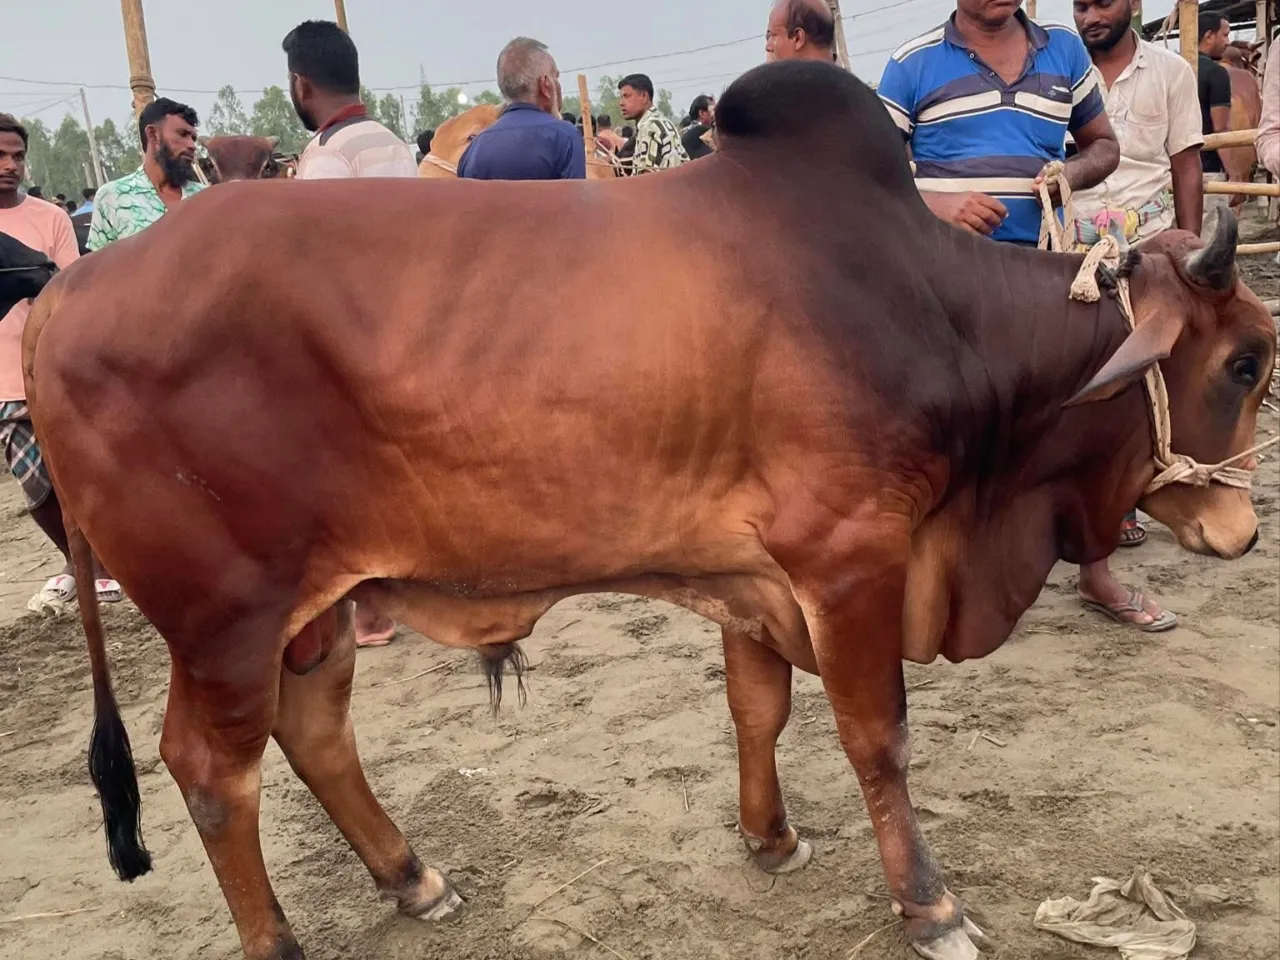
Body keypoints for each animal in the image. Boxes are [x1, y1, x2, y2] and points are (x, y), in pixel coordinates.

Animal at [15, 61, 1276, 960]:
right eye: (1244, 363)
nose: (1241, 531)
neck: (934, 311)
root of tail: (73, 289)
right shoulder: (848, 558)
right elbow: (878, 736)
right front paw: (929, 906)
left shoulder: (756, 576)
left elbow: (757, 709)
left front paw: (771, 838)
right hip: (222, 614)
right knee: (208, 773)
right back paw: (279, 940)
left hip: (317, 604)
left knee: (313, 731)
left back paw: (412, 876)